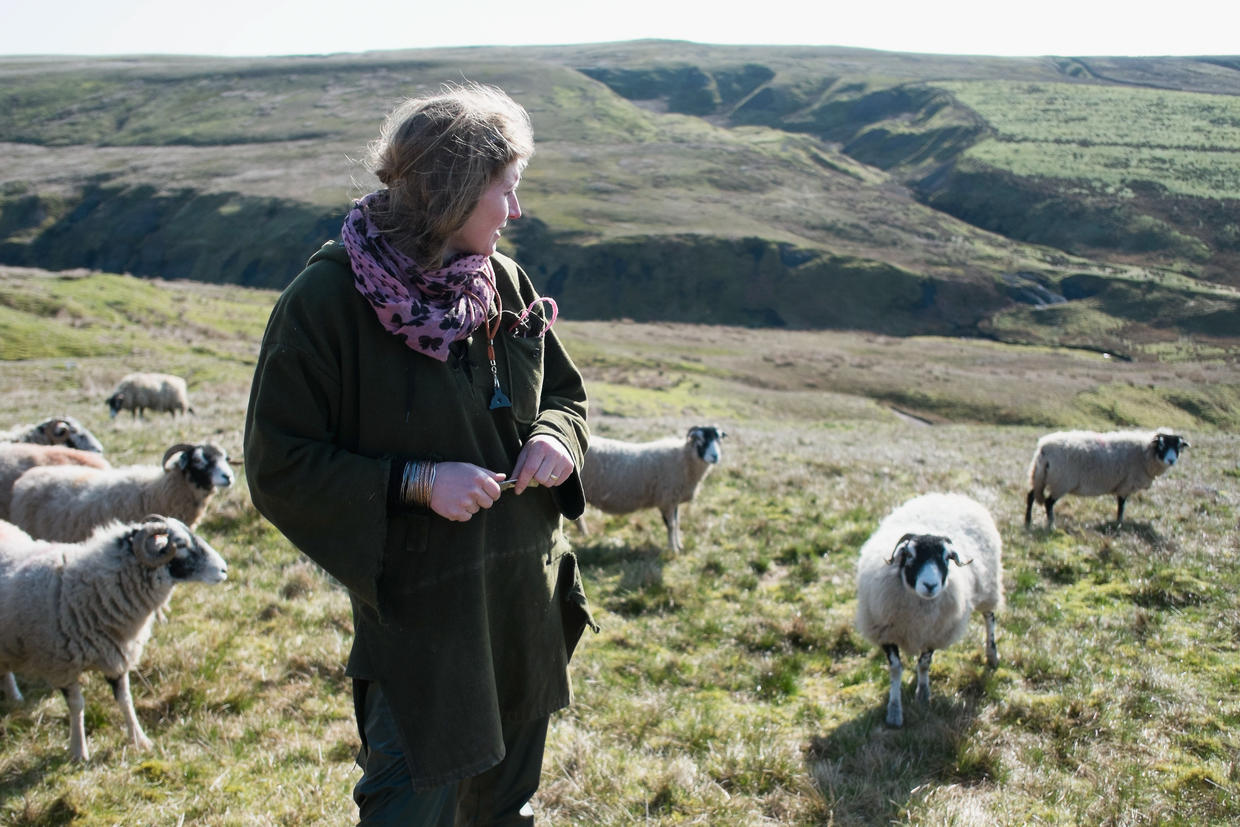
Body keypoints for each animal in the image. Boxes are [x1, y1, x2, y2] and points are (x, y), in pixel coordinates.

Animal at [0, 518, 228, 763]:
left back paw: (15, 698)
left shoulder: (117, 655)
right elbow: (77, 706)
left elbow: (125, 700)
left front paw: (140, 740)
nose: (224, 569)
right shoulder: (62, 665)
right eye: (182, 544)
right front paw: (79, 751)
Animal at [572, 424, 724, 552]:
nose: (715, 456)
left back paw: (584, 534)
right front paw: (673, 549)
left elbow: (677, 523)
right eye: (700, 440)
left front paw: (679, 545)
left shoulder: (673, 500)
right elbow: (671, 525)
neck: (683, 459)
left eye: (718, 440)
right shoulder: (667, 500)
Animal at [853, 495, 1006, 729]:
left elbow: (924, 664)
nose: (930, 585)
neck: (918, 610)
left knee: (989, 618)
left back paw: (992, 654)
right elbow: (896, 669)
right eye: (909, 555)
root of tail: (951, 495)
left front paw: (923, 695)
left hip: (989, 587)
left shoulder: (935, 632)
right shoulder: (885, 631)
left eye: (947, 557)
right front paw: (894, 711)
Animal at [1021, 426, 1185, 530]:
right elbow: (1121, 506)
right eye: (1162, 446)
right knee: (1048, 503)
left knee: (1031, 496)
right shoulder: (1126, 485)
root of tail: (1044, 448)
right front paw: (1119, 524)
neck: (1145, 453)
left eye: (1177, 447)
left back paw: (1028, 522)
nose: (1171, 460)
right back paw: (1051, 525)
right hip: (1061, 482)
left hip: (1040, 476)